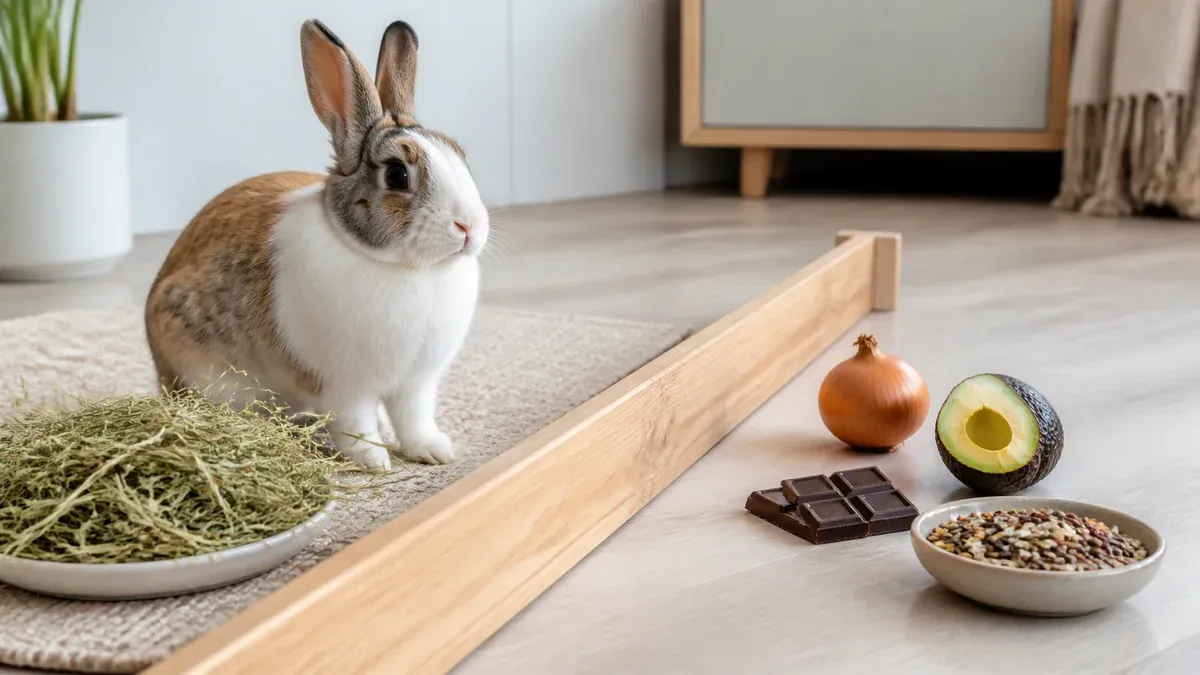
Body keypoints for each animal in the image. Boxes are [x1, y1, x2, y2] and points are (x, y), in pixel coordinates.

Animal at [143, 19, 489, 471]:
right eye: (397, 175)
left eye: (461, 155)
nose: (469, 226)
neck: (406, 268)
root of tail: (161, 372)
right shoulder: (345, 386)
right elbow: (355, 423)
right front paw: (374, 461)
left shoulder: (416, 384)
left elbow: (414, 419)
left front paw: (435, 452)